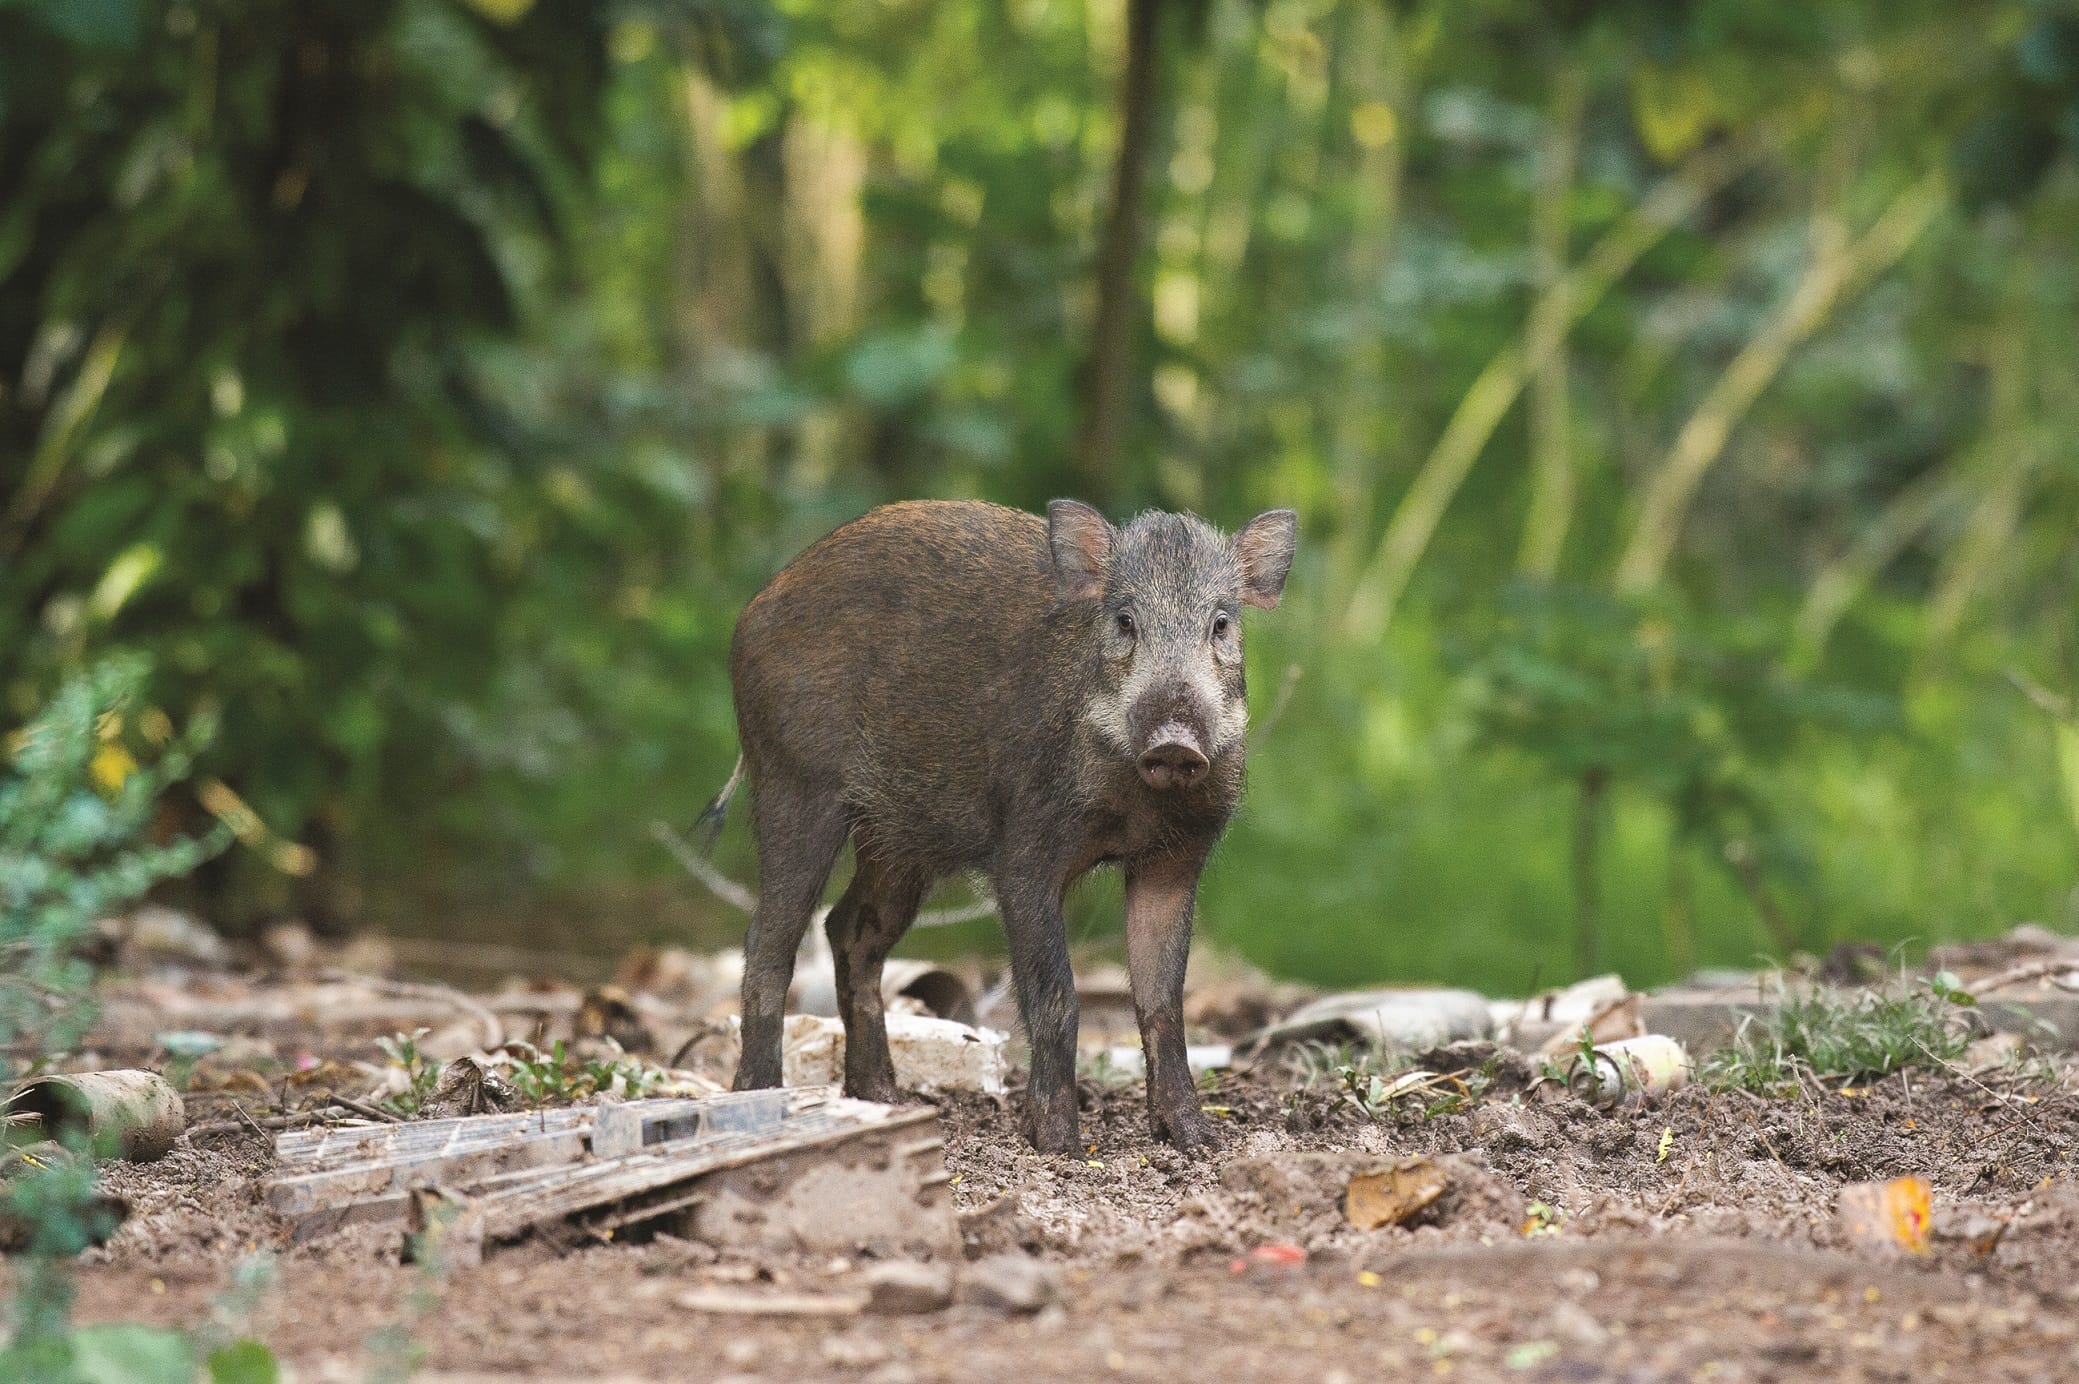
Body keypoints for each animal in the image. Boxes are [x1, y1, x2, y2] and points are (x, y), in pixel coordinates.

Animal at [709, 498, 1295, 1153]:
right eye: (1124, 620)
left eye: (1221, 623)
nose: (1175, 742)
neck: (1138, 806)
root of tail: (752, 611)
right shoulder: (1025, 853)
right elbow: (1057, 997)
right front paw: (1059, 1145)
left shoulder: (1174, 861)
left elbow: (1163, 1002)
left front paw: (1197, 1140)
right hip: (794, 787)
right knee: (768, 939)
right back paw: (762, 1103)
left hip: (896, 839)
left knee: (849, 929)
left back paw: (885, 1099)